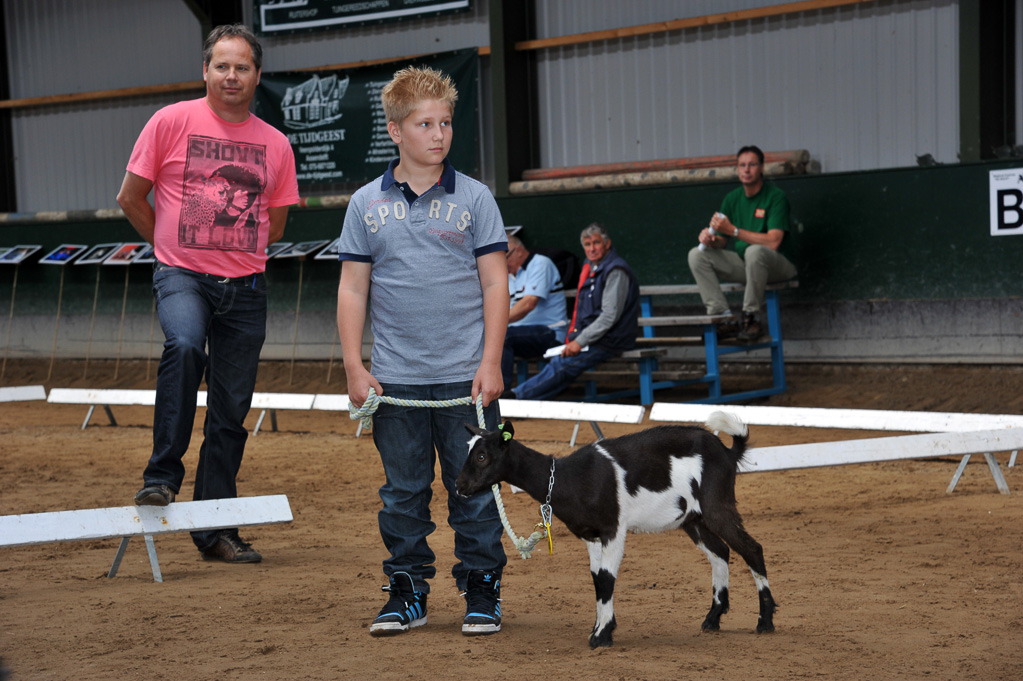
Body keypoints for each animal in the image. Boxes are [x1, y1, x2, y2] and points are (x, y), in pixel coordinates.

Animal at [456, 409, 773, 646]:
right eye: (468, 451)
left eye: (482, 456)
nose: (459, 487)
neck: (568, 479)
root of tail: (727, 453)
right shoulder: (591, 535)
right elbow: (597, 578)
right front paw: (599, 627)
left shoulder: (613, 529)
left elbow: (607, 578)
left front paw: (602, 636)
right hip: (693, 518)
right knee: (720, 551)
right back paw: (713, 619)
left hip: (717, 503)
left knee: (752, 548)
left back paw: (765, 621)